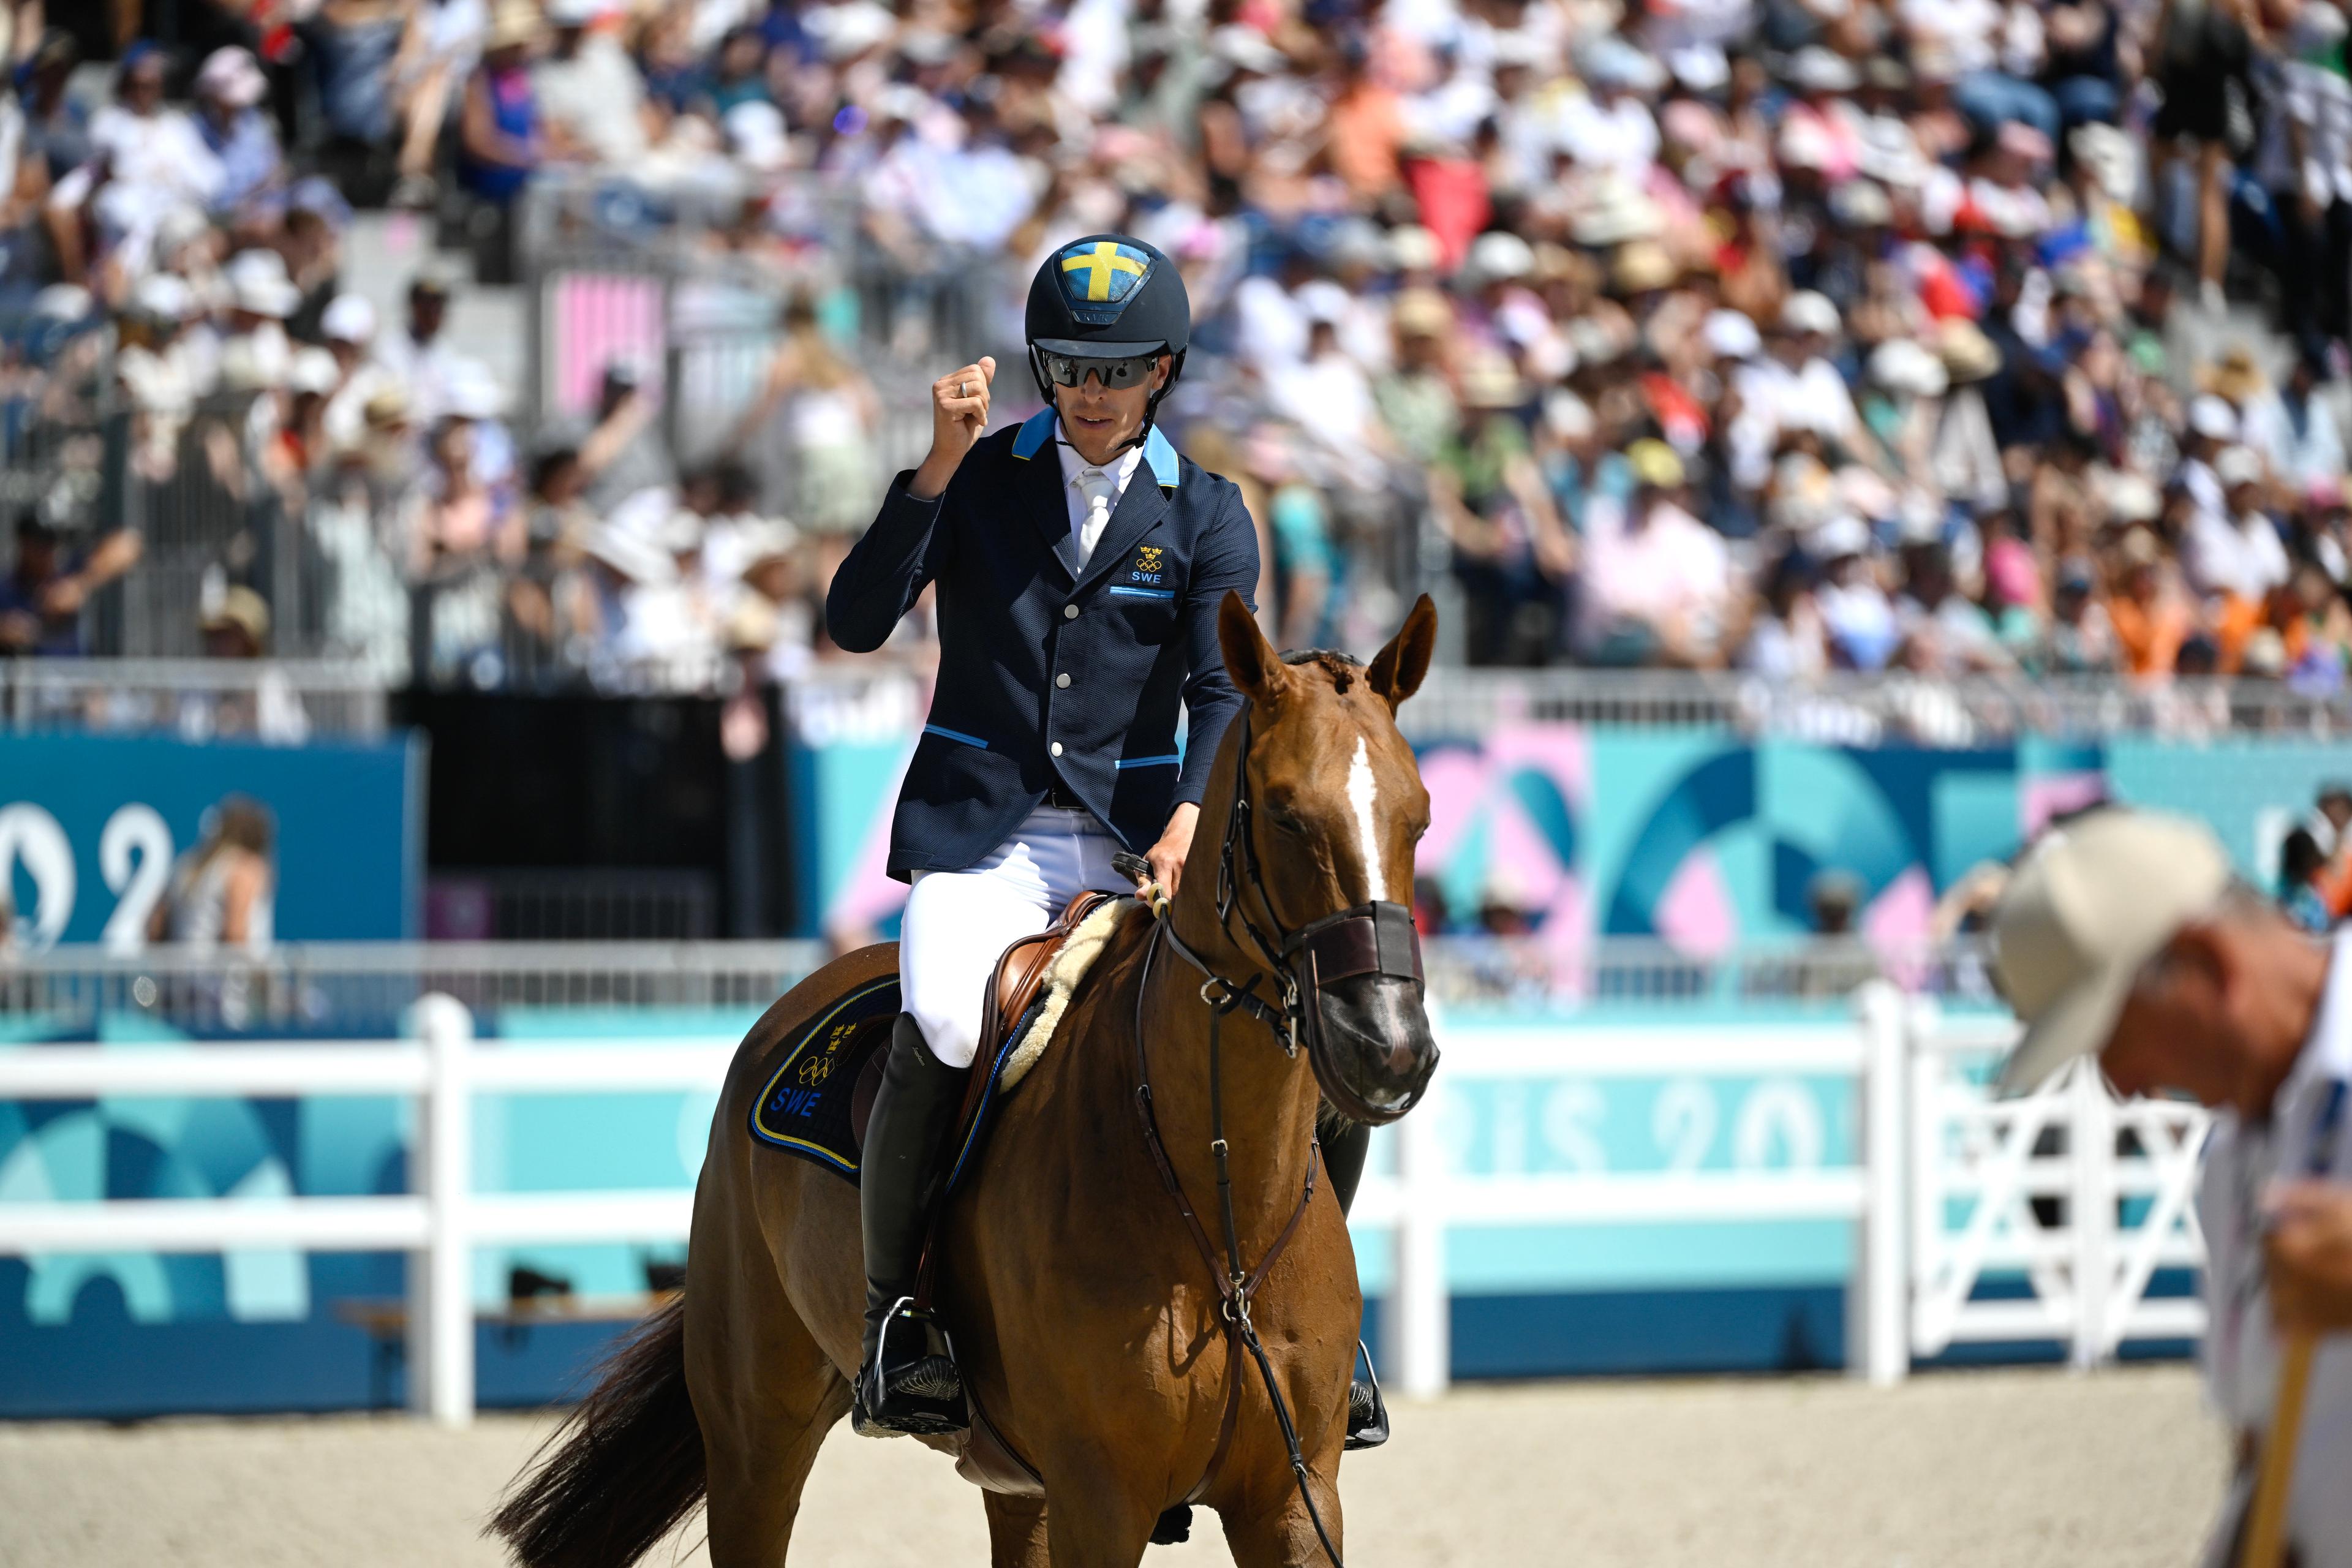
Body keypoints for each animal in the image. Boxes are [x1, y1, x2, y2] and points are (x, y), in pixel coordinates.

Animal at [500, 595, 1430, 1561]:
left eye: (1421, 818)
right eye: (1285, 815)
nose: (1390, 1046)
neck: (1219, 1209)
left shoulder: (1292, 1497)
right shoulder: (1103, 1497)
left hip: (1015, 1484)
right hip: (755, 1438)